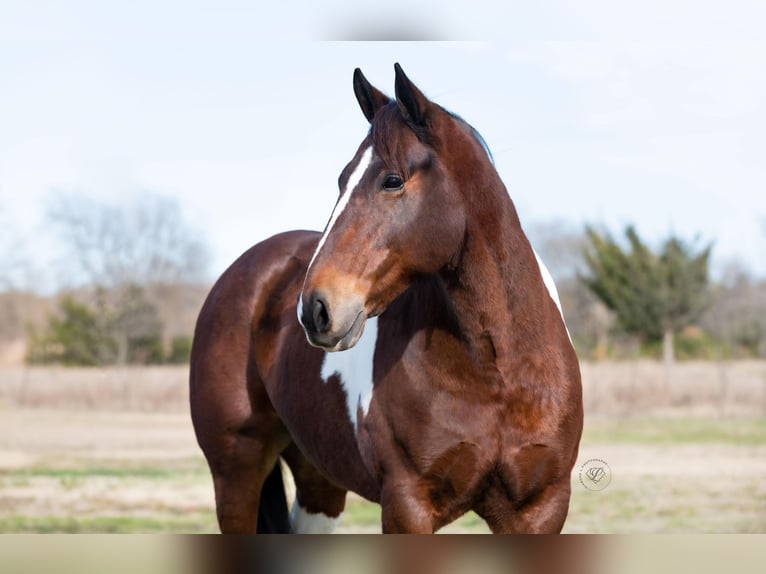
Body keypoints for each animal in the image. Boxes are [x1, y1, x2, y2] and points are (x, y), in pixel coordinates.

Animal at [190, 64, 584, 536]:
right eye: (342, 180)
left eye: (392, 180)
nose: (314, 310)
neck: (497, 372)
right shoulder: (406, 507)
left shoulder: (539, 511)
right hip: (237, 475)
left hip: (318, 482)